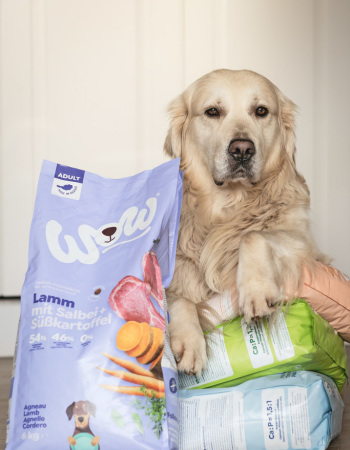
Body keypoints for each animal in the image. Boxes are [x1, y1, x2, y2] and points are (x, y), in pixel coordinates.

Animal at [163, 67, 328, 376]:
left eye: (261, 110)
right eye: (212, 111)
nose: (242, 149)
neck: (231, 204)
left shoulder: (304, 243)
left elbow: (253, 235)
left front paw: (256, 290)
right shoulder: (175, 266)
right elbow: (178, 298)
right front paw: (188, 341)